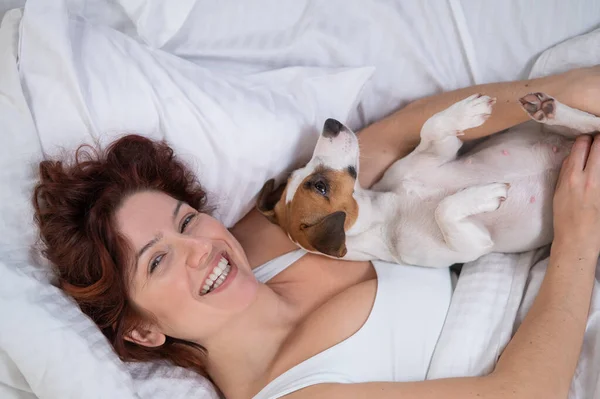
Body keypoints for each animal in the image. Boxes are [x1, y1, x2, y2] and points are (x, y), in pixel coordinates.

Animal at [254, 93, 600, 268]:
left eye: (300, 171)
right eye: (320, 186)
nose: (330, 123)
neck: (386, 213)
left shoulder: (434, 154)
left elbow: (431, 128)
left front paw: (464, 112)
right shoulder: (472, 245)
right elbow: (444, 209)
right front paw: (485, 195)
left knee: (589, 125)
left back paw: (549, 109)